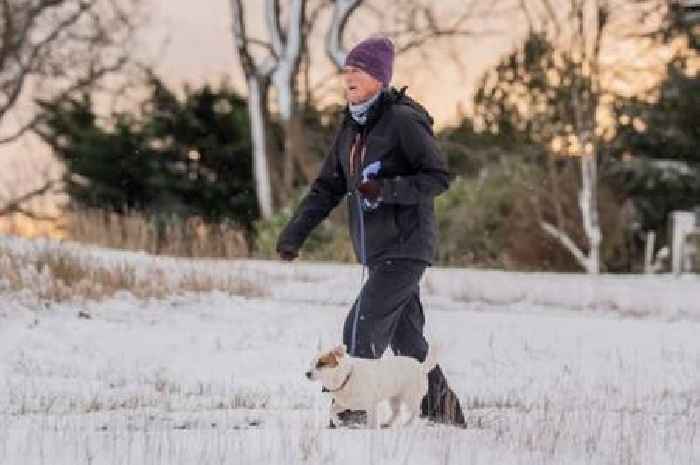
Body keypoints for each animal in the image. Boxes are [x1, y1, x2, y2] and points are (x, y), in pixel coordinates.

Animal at [306, 340, 438, 428]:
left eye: (321, 363)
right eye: (311, 363)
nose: (307, 373)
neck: (346, 377)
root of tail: (421, 367)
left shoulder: (371, 405)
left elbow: (372, 422)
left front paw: (371, 431)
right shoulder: (345, 404)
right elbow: (331, 410)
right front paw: (338, 422)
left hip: (409, 397)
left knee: (416, 412)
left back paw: (407, 424)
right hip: (394, 398)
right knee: (397, 412)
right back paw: (387, 423)